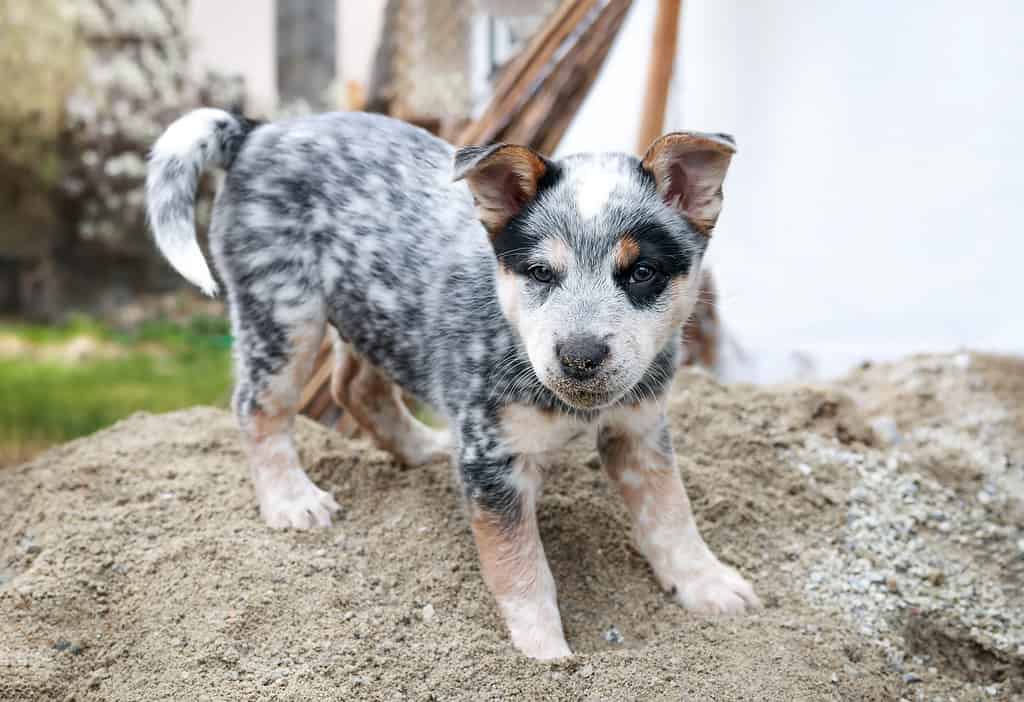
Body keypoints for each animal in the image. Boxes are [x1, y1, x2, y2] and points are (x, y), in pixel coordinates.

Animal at [148, 108, 765, 659]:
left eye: (641, 273)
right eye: (540, 272)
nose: (580, 356)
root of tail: (258, 131)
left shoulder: (640, 429)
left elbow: (672, 515)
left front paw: (707, 582)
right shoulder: (491, 459)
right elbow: (521, 566)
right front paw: (544, 652)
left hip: (374, 313)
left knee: (357, 387)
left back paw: (423, 447)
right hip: (283, 315)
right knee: (259, 407)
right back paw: (291, 500)